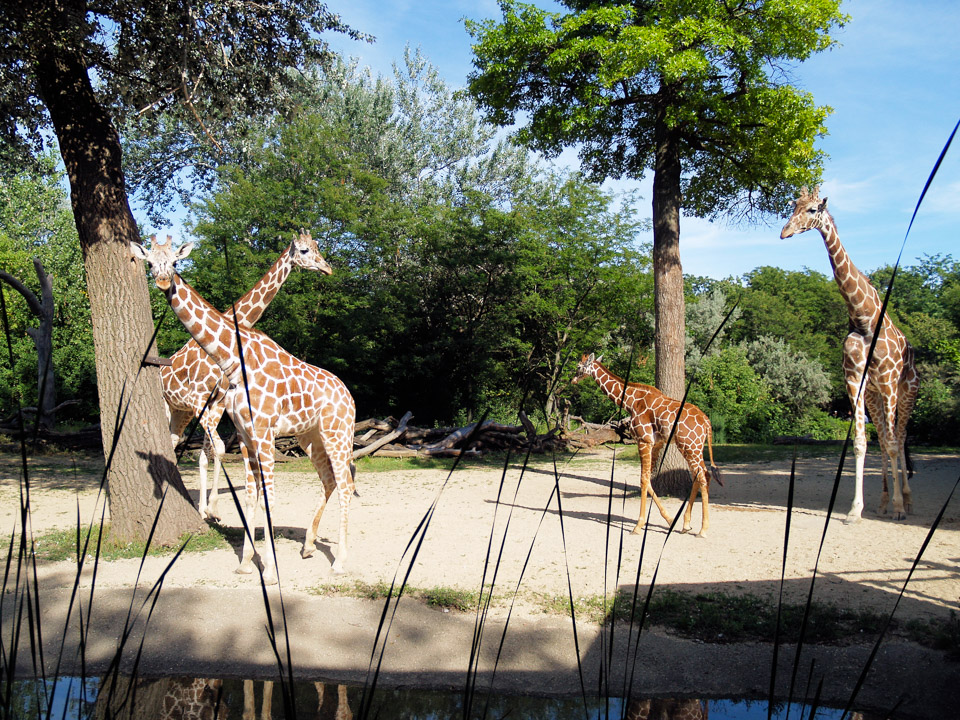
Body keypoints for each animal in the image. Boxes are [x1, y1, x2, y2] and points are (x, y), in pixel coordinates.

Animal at [162, 233, 334, 520]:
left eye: (318, 247)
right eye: (304, 250)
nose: (327, 268)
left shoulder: (217, 404)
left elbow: (210, 452)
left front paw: (211, 509)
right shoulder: (201, 400)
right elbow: (217, 449)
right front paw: (209, 509)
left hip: (181, 412)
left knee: (175, 443)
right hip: (167, 405)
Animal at [568, 352, 720, 536]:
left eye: (578, 366)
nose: (573, 380)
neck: (631, 402)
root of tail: (707, 423)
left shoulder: (643, 440)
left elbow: (643, 479)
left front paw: (638, 525)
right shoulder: (656, 443)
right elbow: (648, 479)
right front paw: (670, 520)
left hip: (690, 446)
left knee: (703, 476)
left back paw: (703, 530)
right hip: (692, 447)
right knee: (701, 475)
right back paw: (686, 524)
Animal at [780, 186, 924, 524]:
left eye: (812, 209)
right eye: (793, 206)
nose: (784, 232)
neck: (863, 317)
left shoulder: (888, 381)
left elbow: (895, 444)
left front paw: (899, 507)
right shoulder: (855, 380)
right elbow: (861, 443)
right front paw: (855, 510)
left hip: (906, 391)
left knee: (901, 437)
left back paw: (906, 501)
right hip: (875, 395)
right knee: (884, 439)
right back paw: (883, 503)